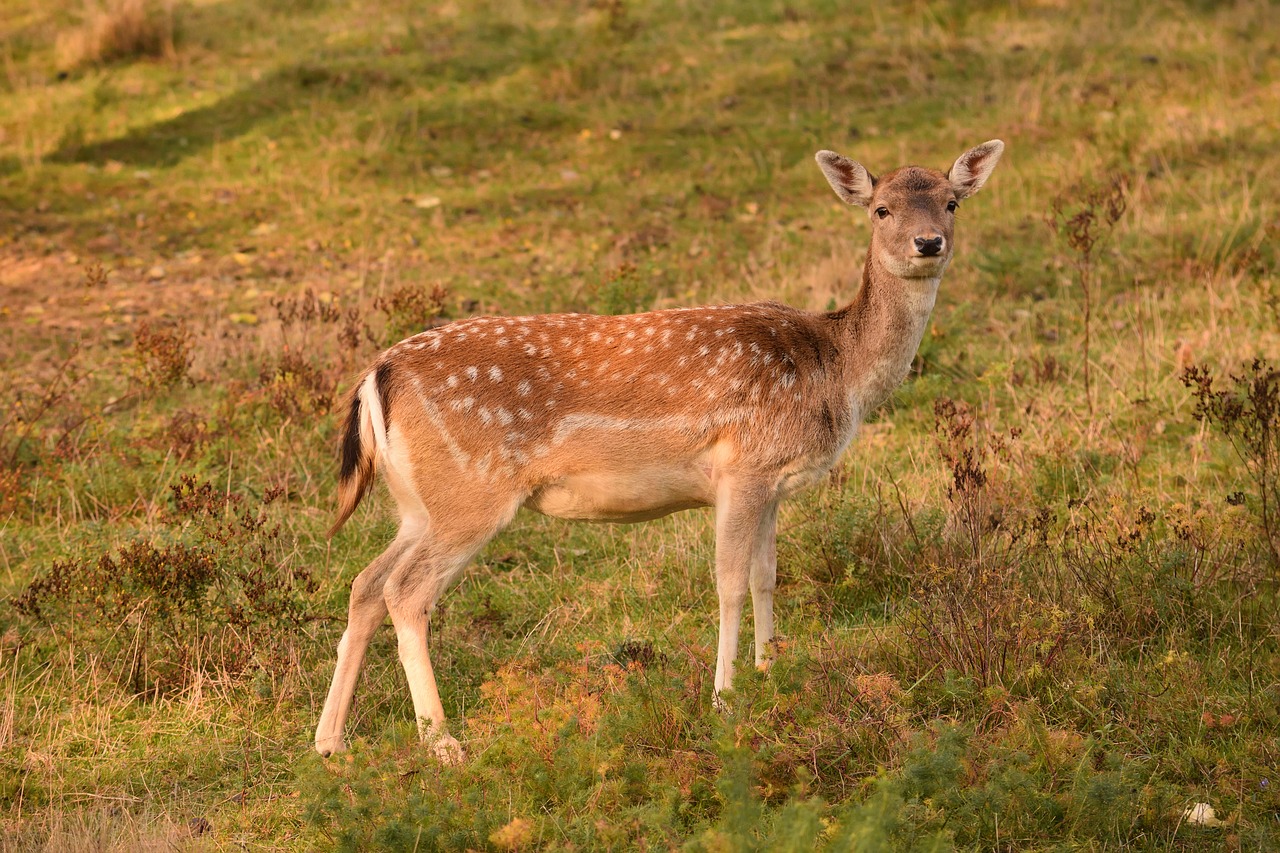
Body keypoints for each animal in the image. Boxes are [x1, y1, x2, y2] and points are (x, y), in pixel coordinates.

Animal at [314, 139, 1003, 758]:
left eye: (951, 203)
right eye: (881, 209)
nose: (929, 243)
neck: (838, 369)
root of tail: (375, 376)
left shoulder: (773, 484)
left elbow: (766, 576)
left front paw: (771, 673)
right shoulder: (742, 467)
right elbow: (729, 582)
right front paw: (725, 700)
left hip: (419, 502)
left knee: (365, 583)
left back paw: (330, 741)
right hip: (470, 492)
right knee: (406, 592)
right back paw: (442, 742)